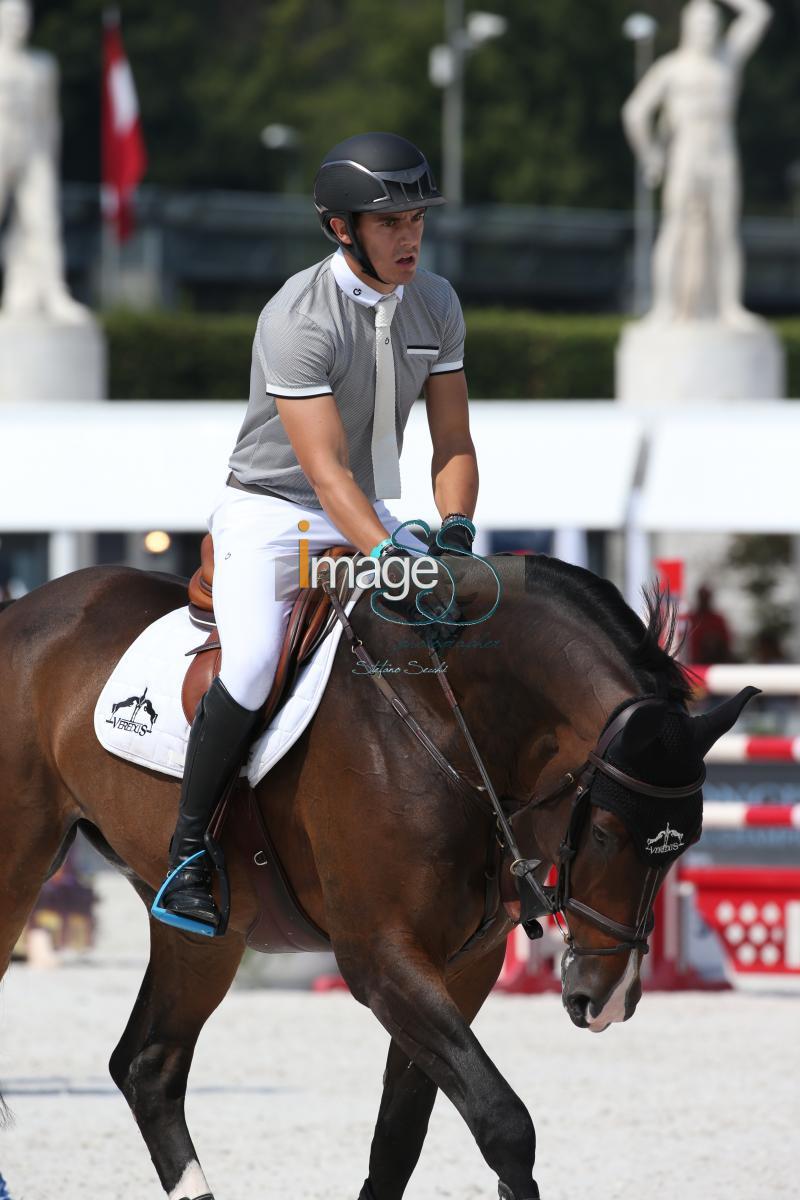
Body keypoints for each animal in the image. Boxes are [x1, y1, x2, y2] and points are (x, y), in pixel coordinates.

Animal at [0, 554, 753, 1200]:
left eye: (683, 846)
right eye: (603, 834)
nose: (607, 999)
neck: (446, 719)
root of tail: (24, 609)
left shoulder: (463, 966)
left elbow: (399, 1136)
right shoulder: (381, 959)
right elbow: (505, 1123)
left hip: (207, 933)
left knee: (149, 1067)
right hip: (20, 869)